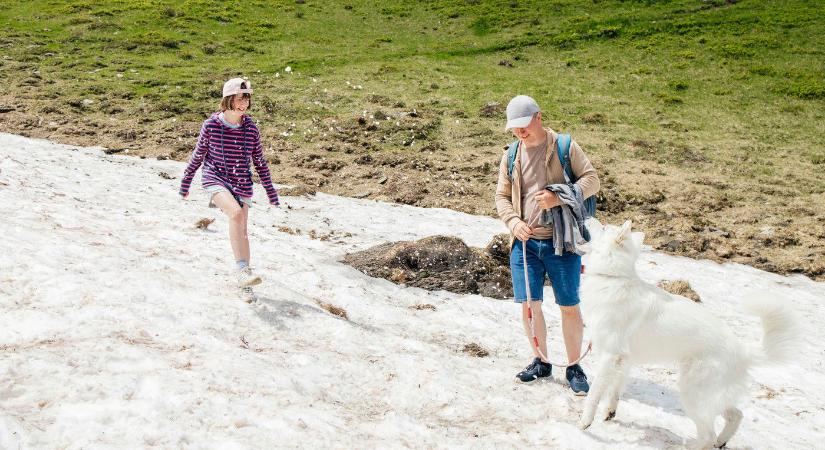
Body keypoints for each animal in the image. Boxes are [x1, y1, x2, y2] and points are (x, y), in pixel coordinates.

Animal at [576, 220, 796, 448]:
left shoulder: (610, 355)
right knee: (736, 415)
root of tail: (742, 350)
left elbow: (595, 393)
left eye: (603, 227)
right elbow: (615, 389)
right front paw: (609, 412)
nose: (587, 218)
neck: (613, 278)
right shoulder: (624, 359)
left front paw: (585, 421)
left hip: (693, 392)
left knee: (708, 435)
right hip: (711, 396)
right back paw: (721, 441)